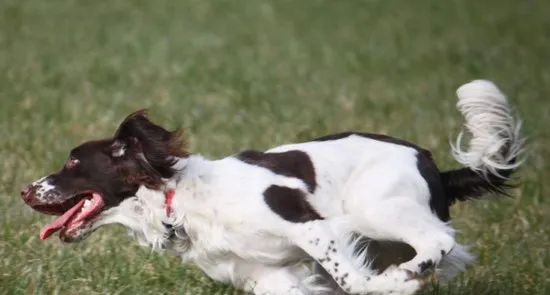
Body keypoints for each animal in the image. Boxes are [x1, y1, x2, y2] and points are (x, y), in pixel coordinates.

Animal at [20, 81, 528, 295]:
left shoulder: (311, 228)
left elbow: (358, 283)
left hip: (372, 209)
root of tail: (434, 166)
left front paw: (394, 286)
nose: (25, 191)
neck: (179, 200)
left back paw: (405, 275)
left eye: (73, 161)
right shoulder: (270, 278)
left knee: (437, 242)